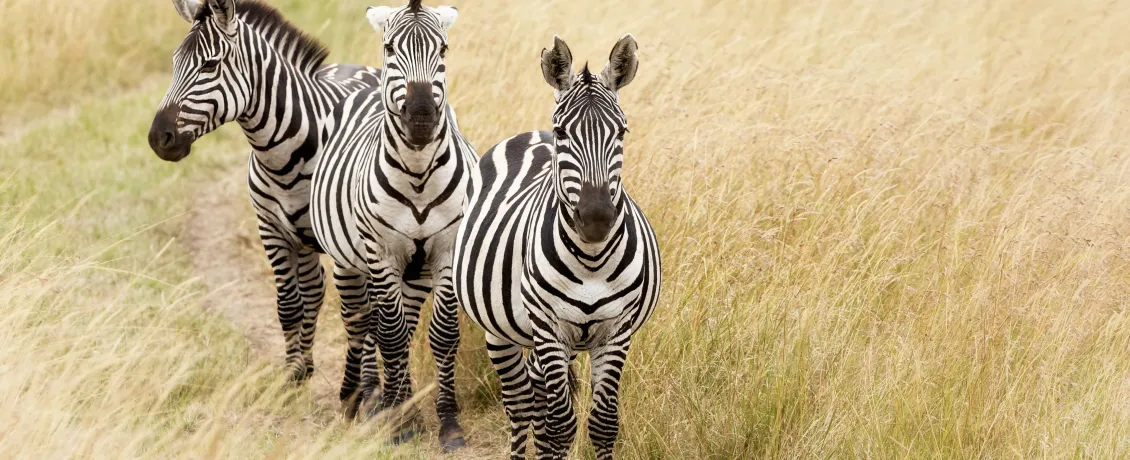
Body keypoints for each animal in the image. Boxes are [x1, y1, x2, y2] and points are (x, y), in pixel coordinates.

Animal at [146, 0, 382, 417]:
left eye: (210, 65)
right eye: (174, 62)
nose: (159, 139)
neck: (283, 155)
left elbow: (358, 311)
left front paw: (358, 395)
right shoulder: (271, 229)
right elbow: (288, 305)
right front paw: (291, 377)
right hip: (302, 239)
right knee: (315, 289)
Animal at [309, 0, 473, 450]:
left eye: (443, 49)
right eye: (390, 48)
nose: (420, 118)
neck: (417, 174)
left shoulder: (447, 249)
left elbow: (441, 334)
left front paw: (447, 423)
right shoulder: (381, 253)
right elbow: (392, 335)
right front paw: (400, 424)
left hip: (413, 273)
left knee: (395, 321)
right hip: (351, 262)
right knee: (363, 322)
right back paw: (361, 399)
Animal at [452, 35, 662, 460]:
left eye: (622, 133)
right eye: (563, 133)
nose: (596, 219)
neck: (592, 261)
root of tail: (533, 134)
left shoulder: (617, 331)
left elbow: (602, 424)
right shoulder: (549, 329)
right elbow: (561, 424)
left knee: (537, 401)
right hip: (502, 331)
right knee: (520, 405)